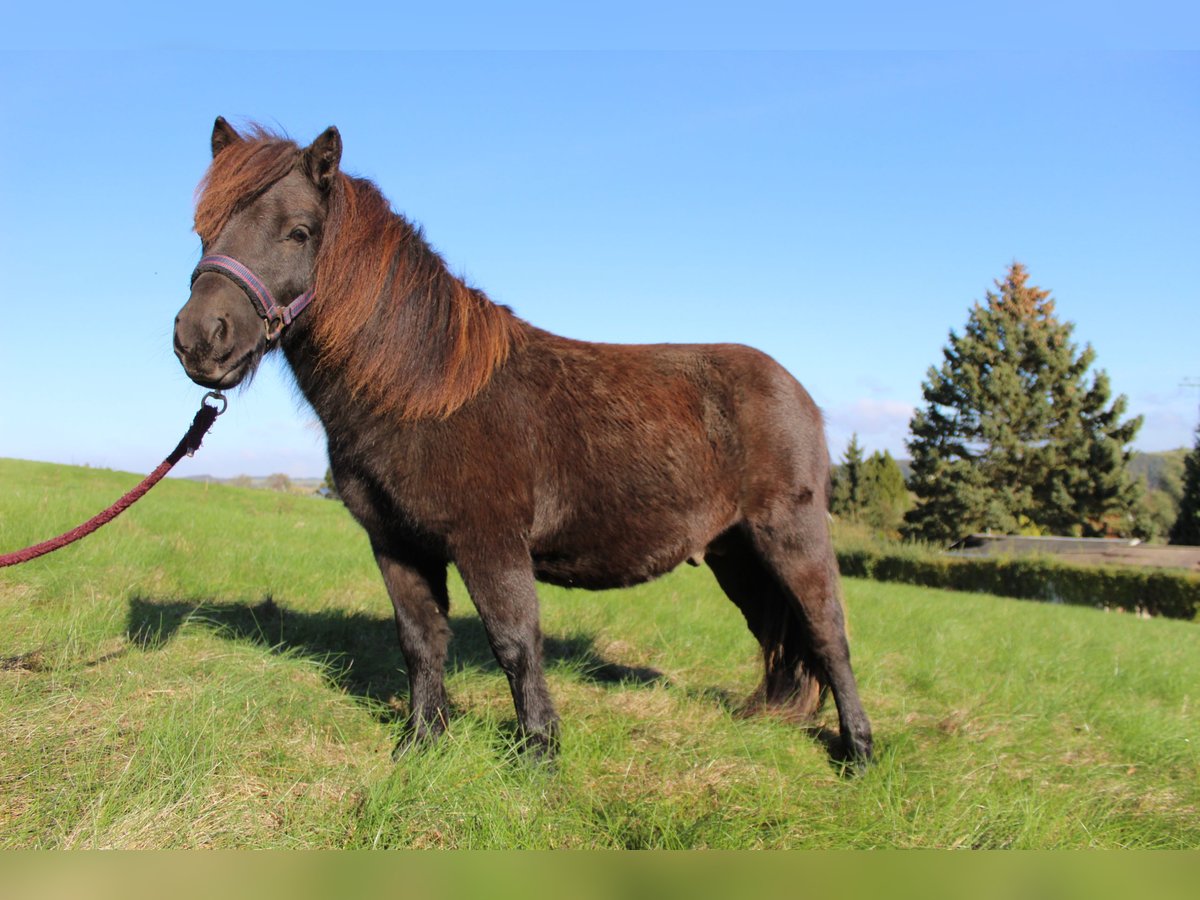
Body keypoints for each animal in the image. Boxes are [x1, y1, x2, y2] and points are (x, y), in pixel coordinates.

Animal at [174, 118, 873, 768]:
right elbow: (420, 641)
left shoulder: (490, 543)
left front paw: (537, 754)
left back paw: (858, 753)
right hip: (736, 555)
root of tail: (797, 392)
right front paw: (421, 744)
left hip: (791, 537)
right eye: (204, 231)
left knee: (828, 635)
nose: (199, 338)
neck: (424, 392)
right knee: (781, 638)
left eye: (298, 231)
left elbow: (515, 643)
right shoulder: (397, 544)